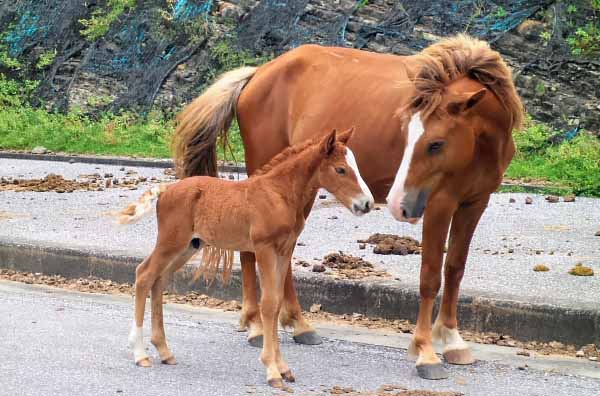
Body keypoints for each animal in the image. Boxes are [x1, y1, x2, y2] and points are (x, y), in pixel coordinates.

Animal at [119, 129, 372, 386]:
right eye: (340, 169)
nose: (367, 203)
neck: (278, 193)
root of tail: (166, 190)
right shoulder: (264, 248)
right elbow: (269, 304)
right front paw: (272, 370)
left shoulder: (284, 251)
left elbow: (277, 303)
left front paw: (283, 368)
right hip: (171, 242)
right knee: (144, 274)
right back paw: (140, 353)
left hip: (189, 246)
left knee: (159, 281)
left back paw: (164, 351)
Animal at [172, 34, 520, 380]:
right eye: (407, 136)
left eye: (436, 143)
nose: (398, 202)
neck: (480, 145)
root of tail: (259, 73)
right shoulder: (439, 203)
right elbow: (431, 276)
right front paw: (425, 351)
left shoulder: (474, 203)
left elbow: (455, 268)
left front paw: (451, 339)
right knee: (251, 252)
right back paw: (258, 324)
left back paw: (296, 324)